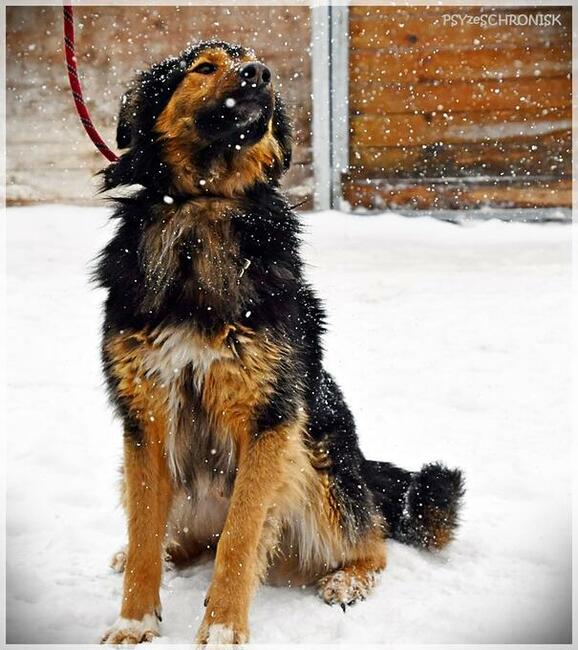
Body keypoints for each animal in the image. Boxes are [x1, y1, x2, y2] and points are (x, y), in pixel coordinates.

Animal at [95, 41, 464, 644]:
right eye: (204, 67)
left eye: (252, 61)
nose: (259, 74)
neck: (204, 206)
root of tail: (363, 467)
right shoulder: (145, 415)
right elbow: (146, 531)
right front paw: (133, 621)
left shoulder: (269, 417)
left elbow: (242, 537)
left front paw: (223, 627)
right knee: (173, 537)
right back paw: (135, 553)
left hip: (318, 459)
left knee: (372, 539)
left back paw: (348, 579)